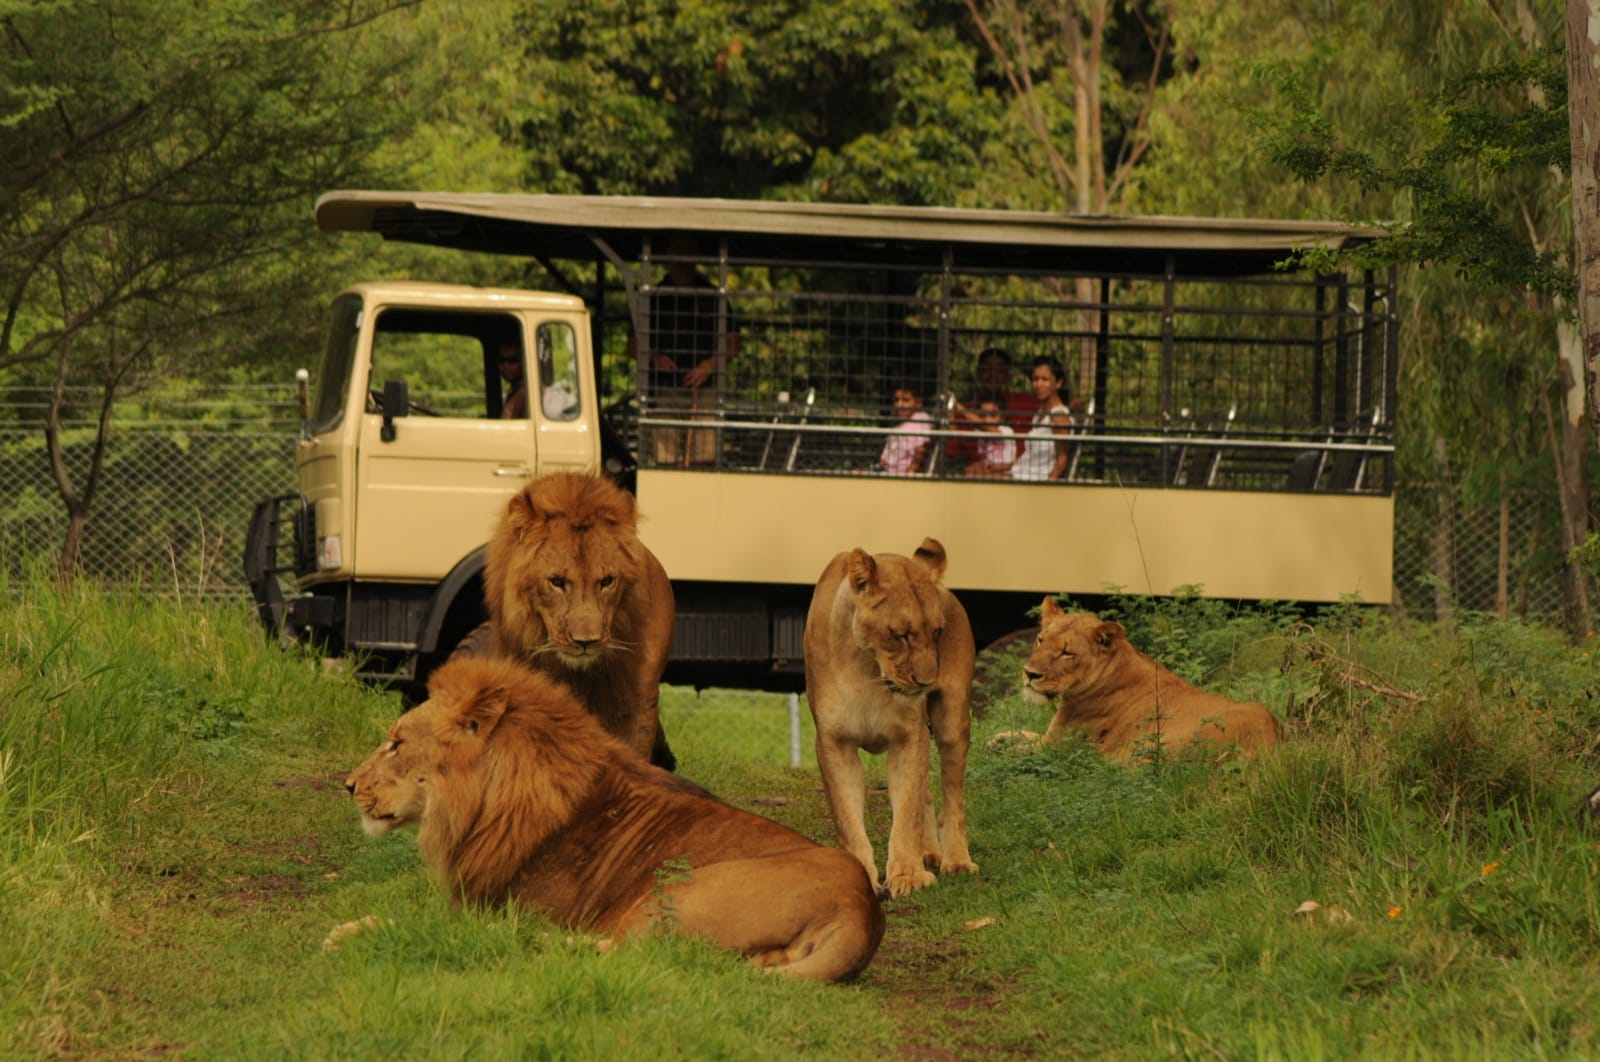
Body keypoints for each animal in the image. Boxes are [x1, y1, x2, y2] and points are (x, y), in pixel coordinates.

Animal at [345, 655, 885, 982]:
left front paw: (353, 930)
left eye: (396, 743)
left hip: (673, 892)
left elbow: (421, 920)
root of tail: (860, 909)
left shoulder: (490, 903)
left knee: (639, 955)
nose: (347, 785)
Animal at [802, 537, 978, 899]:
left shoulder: (909, 736)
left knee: (953, 795)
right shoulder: (834, 742)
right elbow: (848, 816)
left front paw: (908, 875)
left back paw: (955, 860)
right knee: (927, 793)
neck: (868, 671)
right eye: (900, 634)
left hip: (952, 720)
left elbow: (906, 810)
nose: (927, 681)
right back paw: (929, 852)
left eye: (937, 631)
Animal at [1020, 597, 1280, 759]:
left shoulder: (1054, 746)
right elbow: (1020, 733)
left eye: (1067, 653)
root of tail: (1270, 741)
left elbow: (1019, 745)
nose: (1029, 673)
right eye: (1041, 640)